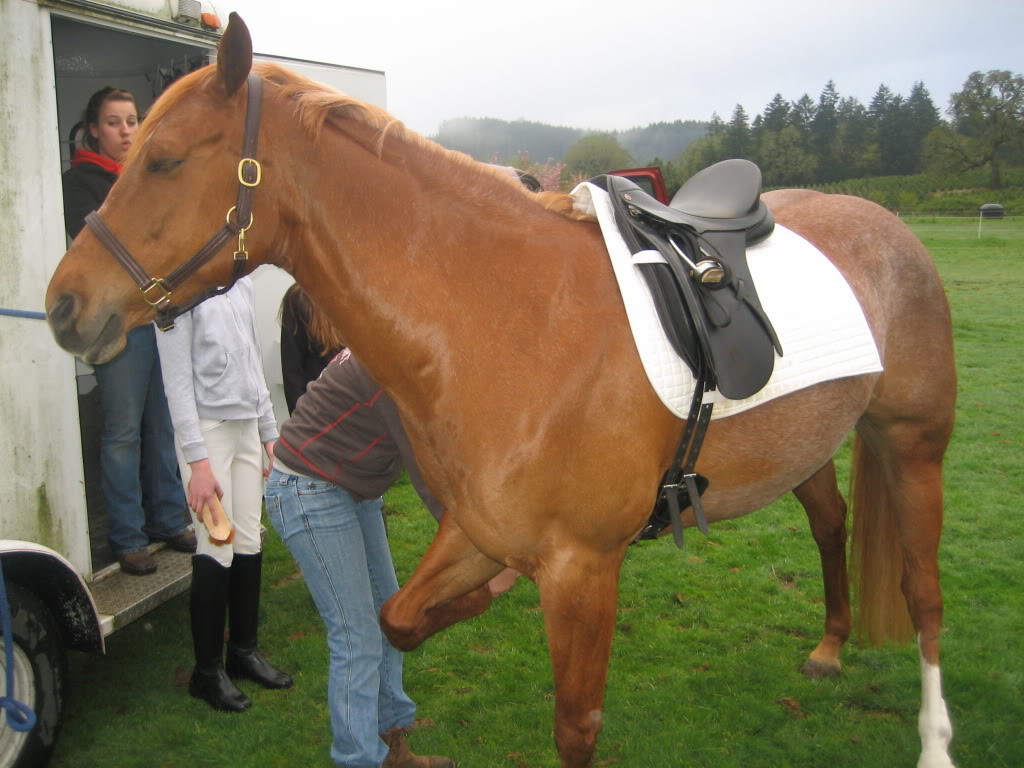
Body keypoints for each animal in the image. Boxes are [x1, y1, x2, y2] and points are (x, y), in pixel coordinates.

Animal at [46, 15, 958, 768]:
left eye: (164, 159)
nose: (63, 304)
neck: (507, 319)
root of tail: (885, 223)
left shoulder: (584, 571)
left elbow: (576, 727)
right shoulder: (477, 532)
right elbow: (397, 618)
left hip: (914, 446)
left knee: (923, 595)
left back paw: (934, 742)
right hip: (813, 444)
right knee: (832, 525)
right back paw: (831, 648)